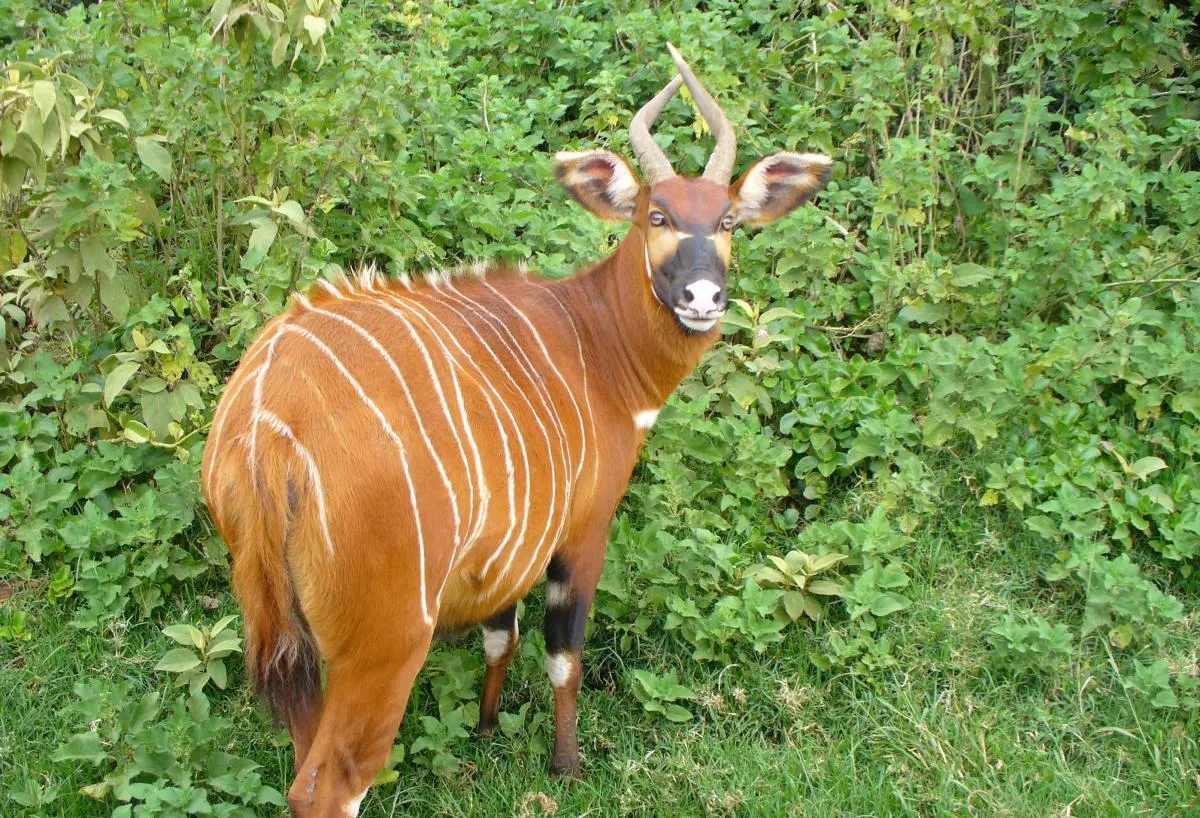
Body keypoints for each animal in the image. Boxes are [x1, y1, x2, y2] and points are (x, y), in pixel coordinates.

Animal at [202, 44, 831, 817]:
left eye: (729, 222)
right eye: (656, 216)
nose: (703, 297)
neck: (594, 340)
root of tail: (263, 431)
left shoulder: (506, 550)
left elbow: (499, 638)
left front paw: (485, 728)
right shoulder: (581, 532)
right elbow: (564, 657)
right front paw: (566, 766)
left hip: (287, 628)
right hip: (385, 641)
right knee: (330, 785)